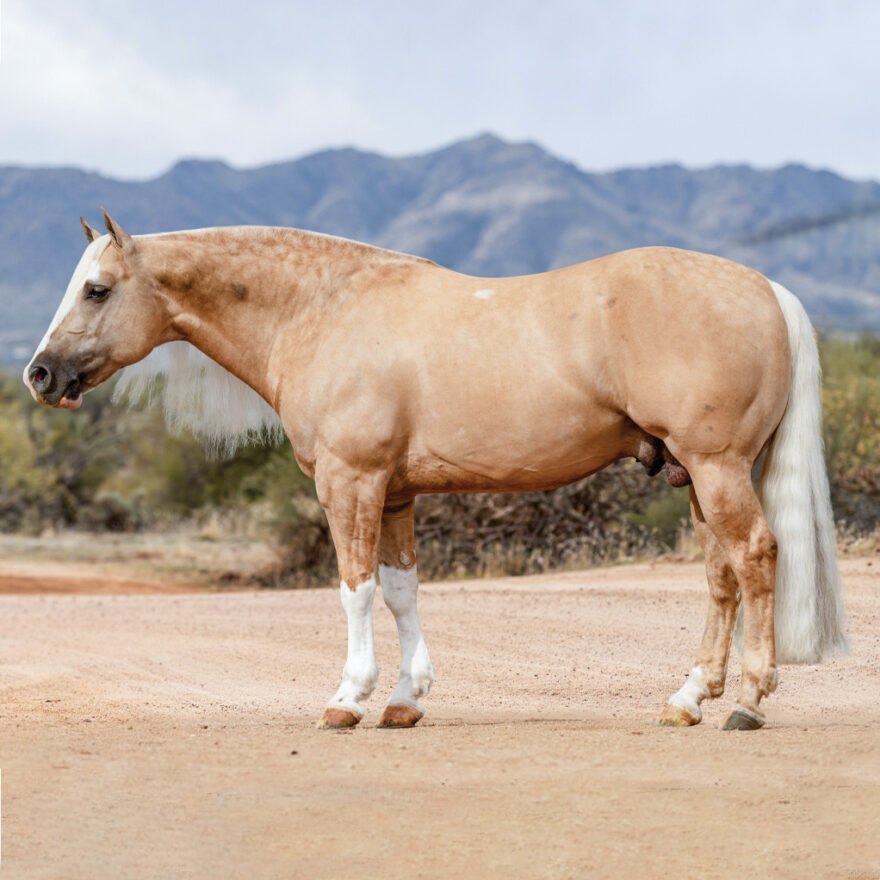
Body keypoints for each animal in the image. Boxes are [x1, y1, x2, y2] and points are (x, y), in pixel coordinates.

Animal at [24, 211, 847, 731]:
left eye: (97, 289)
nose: (39, 374)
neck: (321, 309)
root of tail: (767, 289)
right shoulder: (396, 495)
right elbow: (401, 591)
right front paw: (405, 701)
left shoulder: (350, 483)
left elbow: (355, 590)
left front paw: (348, 699)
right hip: (697, 478)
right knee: (720, 577)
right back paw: (687, 699)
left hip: (717, 469)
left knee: (756, 558)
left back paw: (748, 703)